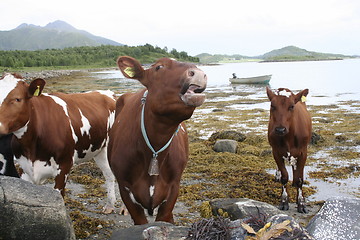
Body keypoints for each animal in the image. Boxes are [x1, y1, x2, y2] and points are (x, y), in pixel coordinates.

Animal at [0, 73, 116, 214]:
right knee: (109, 174)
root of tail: (110, 94)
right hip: (100, 150)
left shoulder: (64, 165)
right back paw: (110, 205)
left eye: (17, 99)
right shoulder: (24, 168)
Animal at [108, 56, 207, 225]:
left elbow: (164, 217)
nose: (199, 74)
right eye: (159, 67)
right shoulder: (124, 186)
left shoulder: (174, 186)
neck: (154, 152)